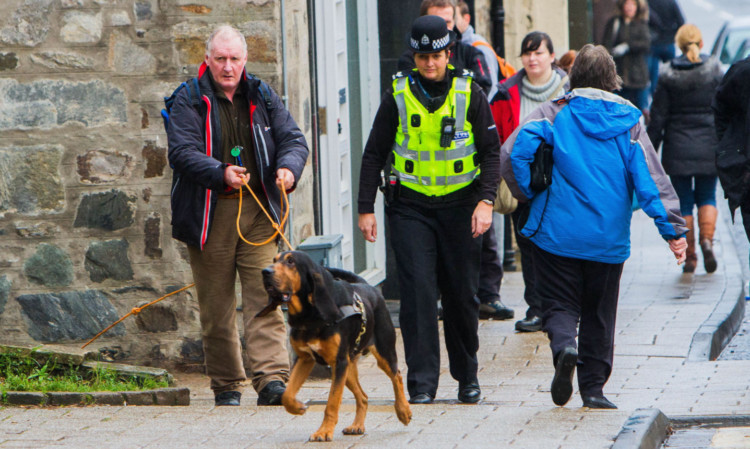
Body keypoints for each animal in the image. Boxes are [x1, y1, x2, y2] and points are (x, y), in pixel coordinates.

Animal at [258, 250, 412, 440]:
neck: (308, 315)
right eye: (274, 259)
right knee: (363, 396)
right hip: (348, 366)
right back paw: (357, 426)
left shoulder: (338, 362)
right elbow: (287, 394)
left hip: (382, 352)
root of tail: (368, 287)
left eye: (291, 262)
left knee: (396, 375)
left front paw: (324, 431)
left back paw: (403, 411)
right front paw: (297, 407)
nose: (265, 271)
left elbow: (332, 402)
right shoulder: (305, 359)